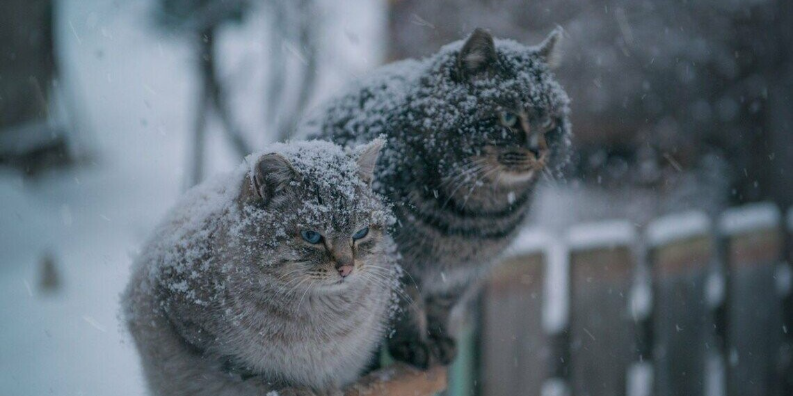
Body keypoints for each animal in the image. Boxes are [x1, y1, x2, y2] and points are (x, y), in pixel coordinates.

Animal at [121, 139, 400, 396]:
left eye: (361, 233)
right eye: (311, 236)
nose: (346, 269)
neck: (319, 313)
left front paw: (327, 388)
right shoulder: (200, 339)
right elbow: (252, 373)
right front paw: (294, 389)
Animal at [302, 28, 568, 368]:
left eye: (548, 121)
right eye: (509, 118)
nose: (539, 151)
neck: (478, 214)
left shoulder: (463, 273)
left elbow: (442, 305)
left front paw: (439, 340)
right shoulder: (400, 260)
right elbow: (407, 305)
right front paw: (414, 345)